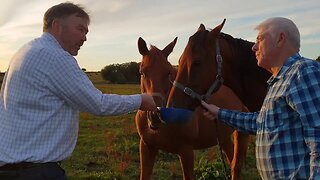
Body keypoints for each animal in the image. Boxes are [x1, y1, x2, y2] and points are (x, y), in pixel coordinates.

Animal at [135, 37, 250, 179]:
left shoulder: (186, 151)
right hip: (223, 137)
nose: (155, 115)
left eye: (168, 72)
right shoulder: (147, 147)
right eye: (142, 72)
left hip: (242, 132)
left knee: (236, 166)